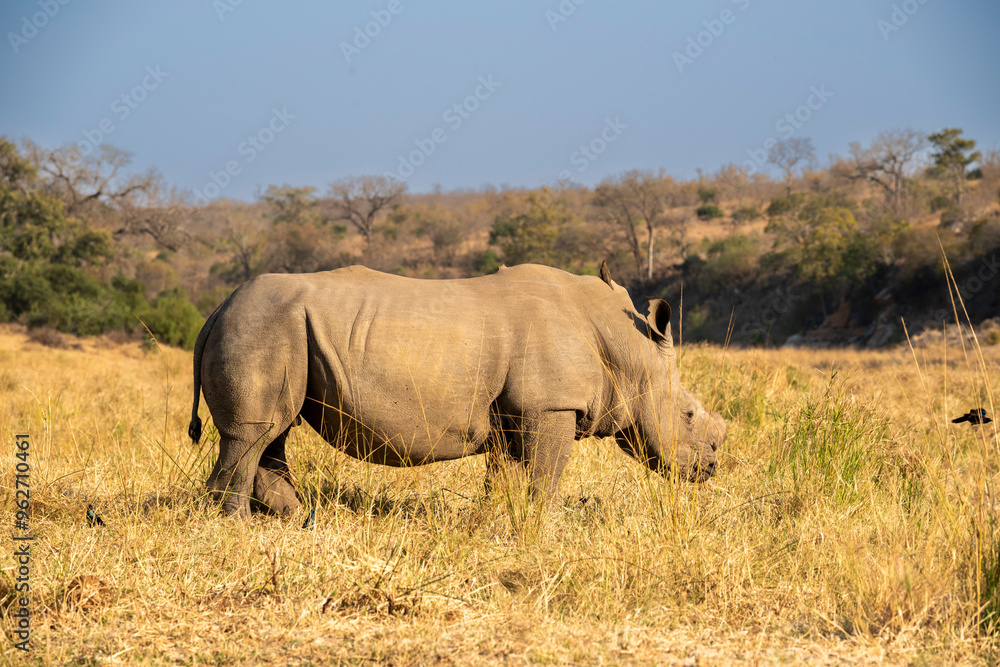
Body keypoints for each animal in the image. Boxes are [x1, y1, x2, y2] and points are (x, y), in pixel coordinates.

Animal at [189, 263, 725, 517]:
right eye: (689, 415)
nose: (711, 469)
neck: (628, 350)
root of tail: (215, 310)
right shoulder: (551, 406)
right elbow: (546, 474)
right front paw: (544, 524)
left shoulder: (516, 412)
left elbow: (508, 474)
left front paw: (499, 521)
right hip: (261, 325)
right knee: (253, 434)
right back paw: (239, 527)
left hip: (275, 327)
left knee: (271, 433)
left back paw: (300, 520)